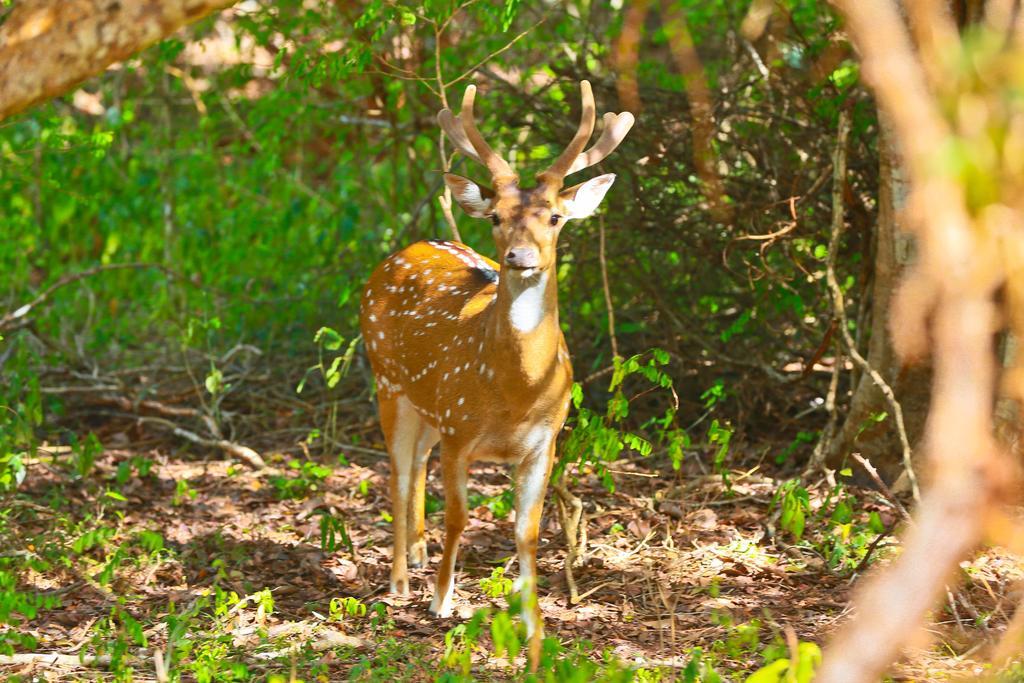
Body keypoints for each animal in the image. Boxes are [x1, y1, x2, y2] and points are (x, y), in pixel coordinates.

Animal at [360, 81, 630, 667]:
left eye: (554, 217)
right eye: (496, 217)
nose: (519, 257)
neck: (516, 392)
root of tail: (407, 247)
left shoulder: (544, 441)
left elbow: (527, 531)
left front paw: (534, 621)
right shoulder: (462, 431)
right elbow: (460, 517)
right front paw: (441, 600)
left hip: (428, 404)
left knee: (416, 463)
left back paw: (418, 554)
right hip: (388, 381)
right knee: (397, 471)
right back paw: (401, 579)